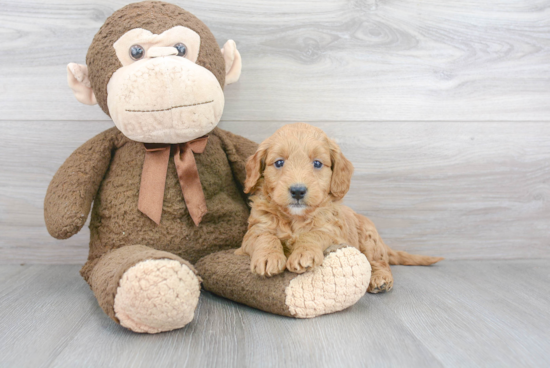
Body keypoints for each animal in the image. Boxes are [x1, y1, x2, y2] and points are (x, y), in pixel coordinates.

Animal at [236, 123, 444, 294]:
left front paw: (304, 253)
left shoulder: (332, 232)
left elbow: (312, 234)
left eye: (317, 163)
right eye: (279, 162)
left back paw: (381, 279)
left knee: (379, 261)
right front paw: (267, 257)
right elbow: (265, 237)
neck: (295, 218)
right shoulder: (254, 231)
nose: (297, 191)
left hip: (369, 236)